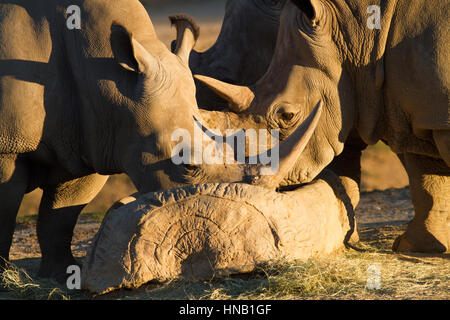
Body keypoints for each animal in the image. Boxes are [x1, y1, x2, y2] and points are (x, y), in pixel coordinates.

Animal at [0, 0, 324, 282]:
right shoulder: (8, 148)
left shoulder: (91, 140)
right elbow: (8, 211)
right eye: (188, 166)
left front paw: (64, 275)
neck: (108, 80)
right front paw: (6, 278)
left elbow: (61, 216)